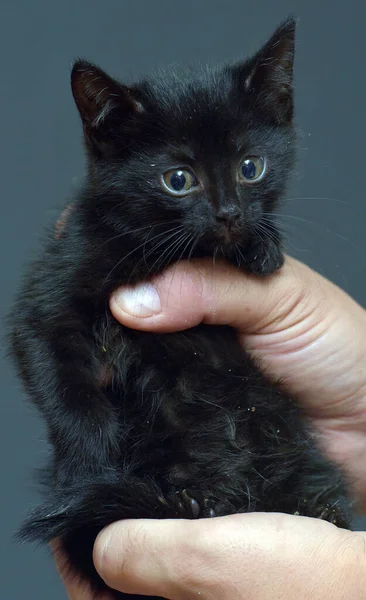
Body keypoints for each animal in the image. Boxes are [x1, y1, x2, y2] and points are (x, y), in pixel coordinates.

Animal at [10, 18, 350, 600]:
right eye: (178, 179)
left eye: (250, 167)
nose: (230, 214)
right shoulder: (48, 298)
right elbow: (63, 384)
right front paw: (87, 463)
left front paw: (261, 247)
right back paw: (190, 499)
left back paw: (311, 506)